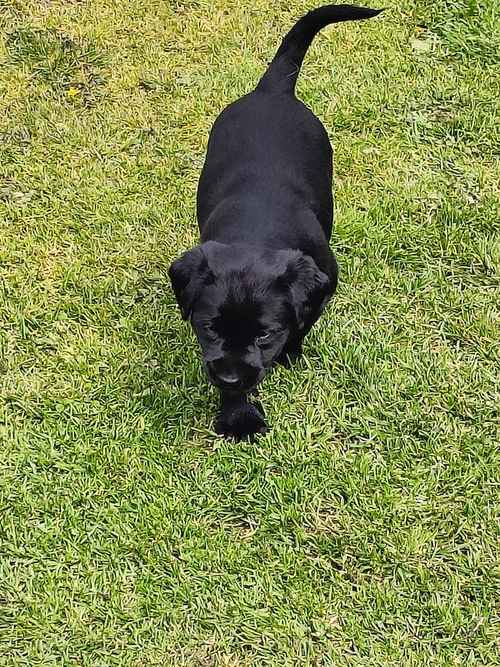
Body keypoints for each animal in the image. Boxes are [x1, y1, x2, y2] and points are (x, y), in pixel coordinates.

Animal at [169, 6, 382, 444]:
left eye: (265, 334)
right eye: (208, 328)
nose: (230, 378)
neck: (257, 232)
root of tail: (273, 91)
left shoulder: (325, 281)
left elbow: (302, 322)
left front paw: (288, 353)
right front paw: (238, 415)